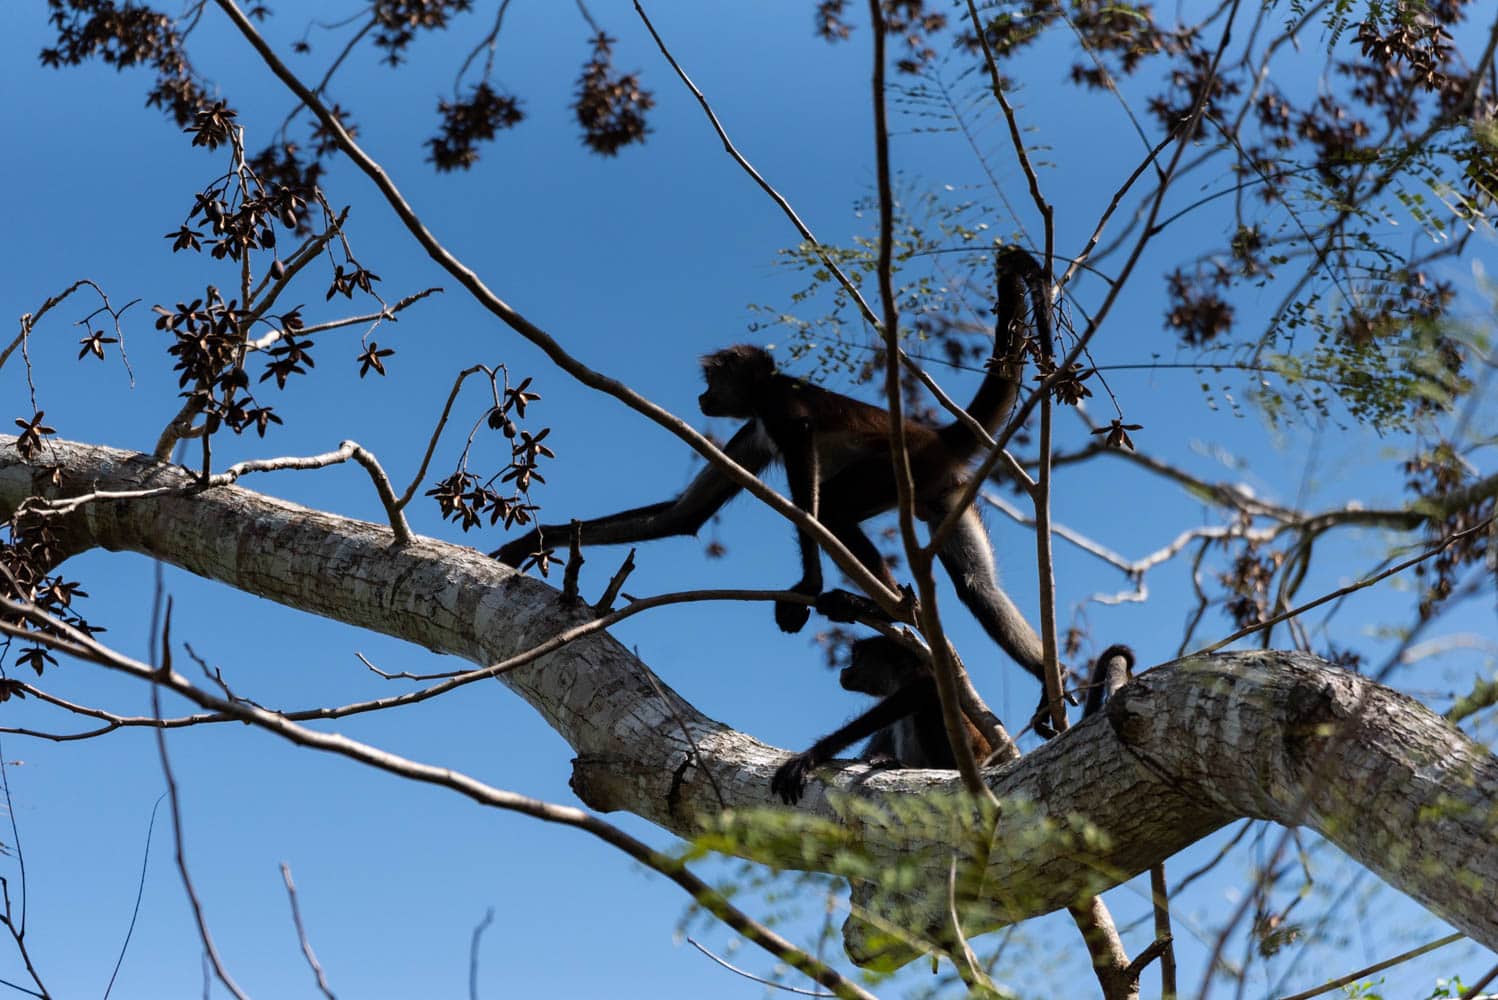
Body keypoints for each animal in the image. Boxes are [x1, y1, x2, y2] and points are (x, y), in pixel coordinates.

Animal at [494, 248, 1054, 694]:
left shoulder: (780, 410)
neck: (768, 391)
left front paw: (808, 584)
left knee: (835, 510)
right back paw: (1050, 684)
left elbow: (804, 459)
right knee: (979, 588)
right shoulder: (755, 428)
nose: (702, 398)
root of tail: (936, 436)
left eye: (711, 381)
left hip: (904, 469)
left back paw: (894, 605)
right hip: (946, 492)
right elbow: (683, 516)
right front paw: (537, 539)